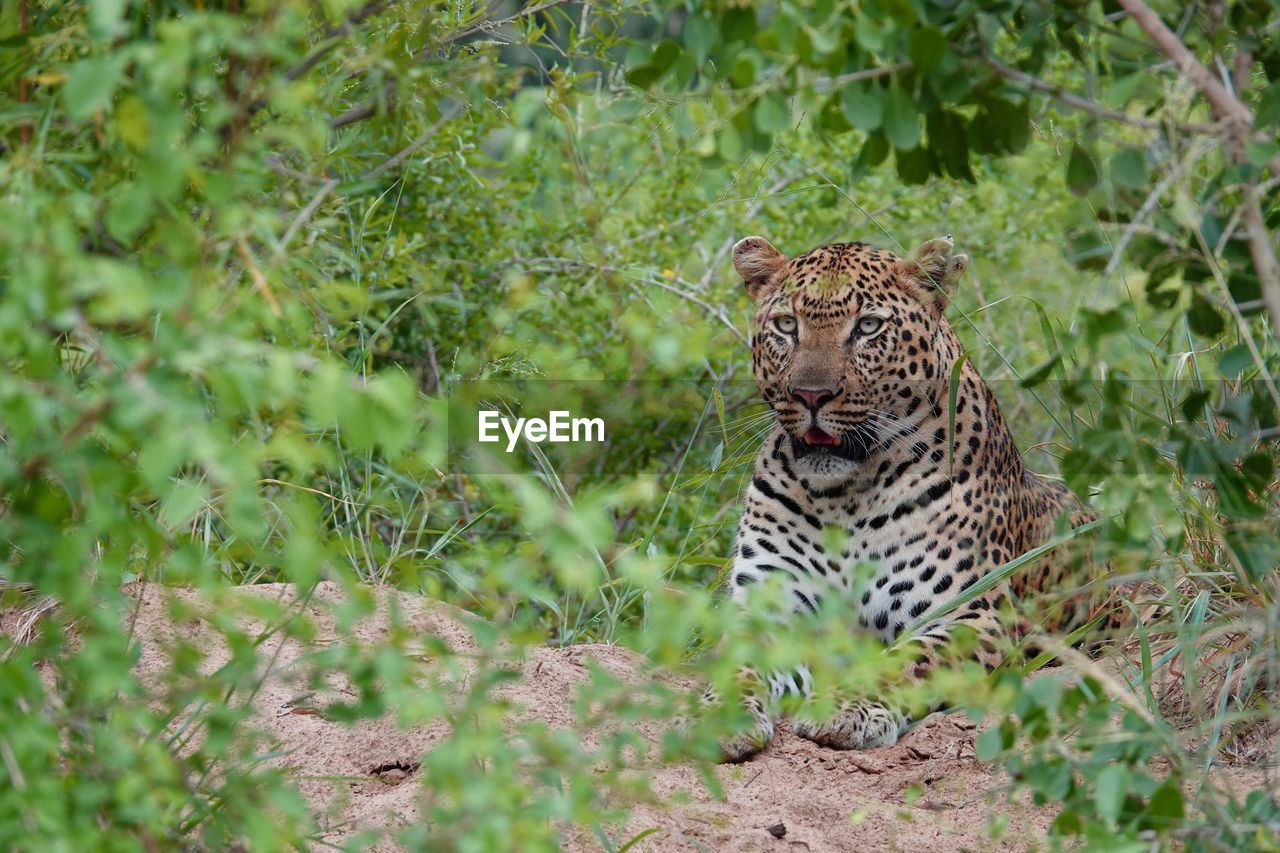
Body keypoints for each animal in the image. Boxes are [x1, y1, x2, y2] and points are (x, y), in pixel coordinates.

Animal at [716, 230, 1126, 758]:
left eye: (868, 326)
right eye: (787, 325)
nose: (811, 395)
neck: (842, 498)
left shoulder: (971, 616)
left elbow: (905, 660)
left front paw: (845, 709)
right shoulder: (766, 608)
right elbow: (737, 666)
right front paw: (715, 718)